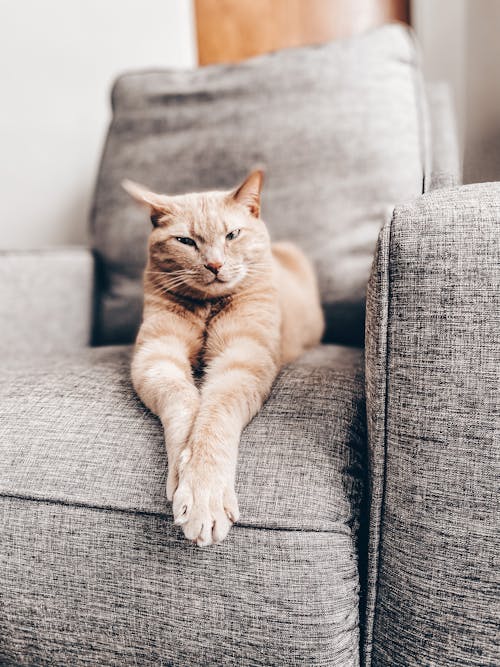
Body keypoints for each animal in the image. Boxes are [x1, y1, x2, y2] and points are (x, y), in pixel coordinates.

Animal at [123, 171, 322, 548]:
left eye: (232, 235)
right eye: (185, 241)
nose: (214, 264)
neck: (208, 306)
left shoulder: (242, 361)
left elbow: (213, 418)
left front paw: (204, 493)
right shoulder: (156, 355)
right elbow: (184, 404)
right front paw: (183, 468)